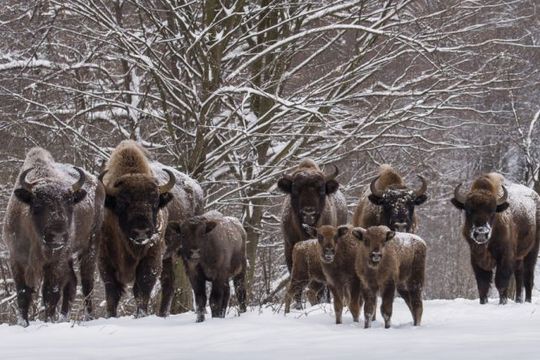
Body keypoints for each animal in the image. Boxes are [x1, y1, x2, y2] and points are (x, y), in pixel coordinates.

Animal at [3, 148, 104, 324]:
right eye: (37, 205)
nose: (57, 236)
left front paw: (48, 321)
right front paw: (23, 323)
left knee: (87, 283)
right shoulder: (17, 259)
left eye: (70, 204)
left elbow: (51, 294)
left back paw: (88, 317)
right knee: (72, 283)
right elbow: (23, 293)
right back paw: (64, 317)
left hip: (90, 246)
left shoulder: (55, 262)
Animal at [98, 141, 204, 318]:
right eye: (122, 202)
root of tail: (197, 189)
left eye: (154, 201)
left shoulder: (152, 255)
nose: (141, 232)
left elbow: (142, 289)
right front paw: (110, 316)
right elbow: (112, 292)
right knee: (169, 284)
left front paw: (140, 315)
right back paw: (162, 315)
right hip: (168, 257)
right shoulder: (105, 258)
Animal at [452, 173, 540, 306]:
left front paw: (502, 303)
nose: (481, 232)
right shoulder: (476, 258)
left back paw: (527, 301)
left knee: (528, 276)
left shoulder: (505, 257)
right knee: (519, 276)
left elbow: (501, 282)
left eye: (492, 211)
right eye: (468, 210)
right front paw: (483, 303)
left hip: (532, 251)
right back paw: (519, 300)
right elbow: (482, 284)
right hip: (519, 257)